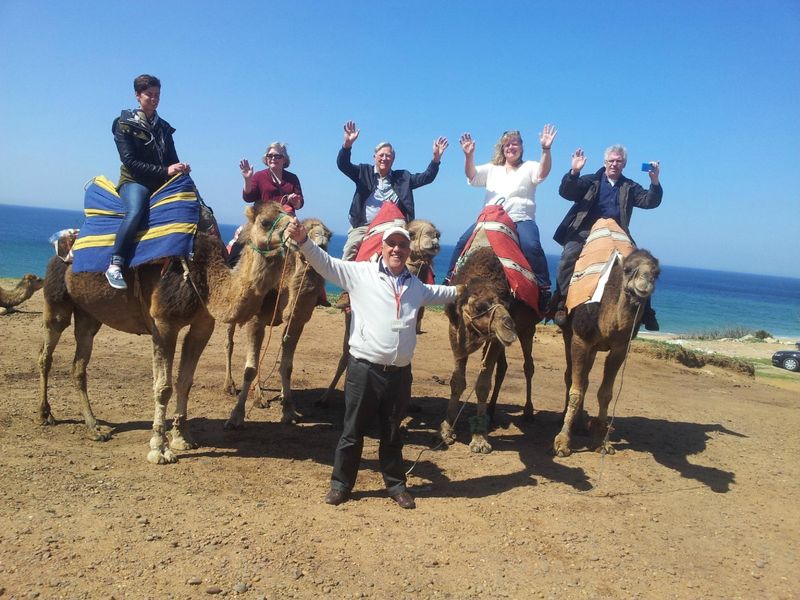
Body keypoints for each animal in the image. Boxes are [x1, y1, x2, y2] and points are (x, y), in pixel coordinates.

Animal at [38, 202, 294, 464]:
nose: (296, 228)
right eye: (265, 222)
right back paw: (45, 414)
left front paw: (182, 437)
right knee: (46, 354)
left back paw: (94, 428)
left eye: (290, 214)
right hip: (57, 301)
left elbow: (185, 381)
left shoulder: (203, 326)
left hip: (88, 314)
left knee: (79, 365)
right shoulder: (163, 324)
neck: (205, 276)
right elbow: (163, 387)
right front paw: (159, 449)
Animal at [222, 218, 332, 428]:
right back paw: (231, 387)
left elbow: (287, 366)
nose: (321, 241)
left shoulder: (297, 321)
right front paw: (235, 416)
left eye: (328, 235)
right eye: (305, 230)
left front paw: (289, 411)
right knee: (230, 344)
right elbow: (250, 368)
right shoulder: (256, 319)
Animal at [440, 246, 540, 452]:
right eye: (480, 306)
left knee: (528, 366)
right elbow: (457, 381)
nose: (509, 327)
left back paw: (527, 411)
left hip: (527, 330)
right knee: (503, 367)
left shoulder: (495, 339)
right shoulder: (455, 330)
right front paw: (447, 429)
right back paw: (491, 410)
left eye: (508, 304)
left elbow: (483, 385)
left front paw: (479, 439)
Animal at [552, 246, 660, 458]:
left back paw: (580, 425)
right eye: (628, 269)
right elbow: (575, 391)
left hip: (594, 350)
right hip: (569, 334)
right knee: (571, 377)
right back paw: (565, 420)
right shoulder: (580, 340)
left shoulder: (620, 348)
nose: (644, 284)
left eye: (656, 273)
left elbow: (606, 393)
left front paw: (602, 443)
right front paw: (562, 442)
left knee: (585, 380)